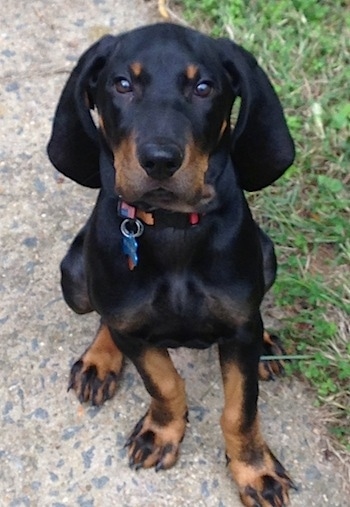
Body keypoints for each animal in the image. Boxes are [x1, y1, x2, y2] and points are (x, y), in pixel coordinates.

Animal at [47, 22, 296, 507]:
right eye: (122, 84)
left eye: (203, 88)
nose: (160, 160)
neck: (173, 228)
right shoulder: (133, 332)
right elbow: (163, 383)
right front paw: (160, 433)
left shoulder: (239, 327)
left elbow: (240, 410)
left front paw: (254, 470)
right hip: (75, 278)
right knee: (103, 314)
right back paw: (100, 359)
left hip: (267, 255)